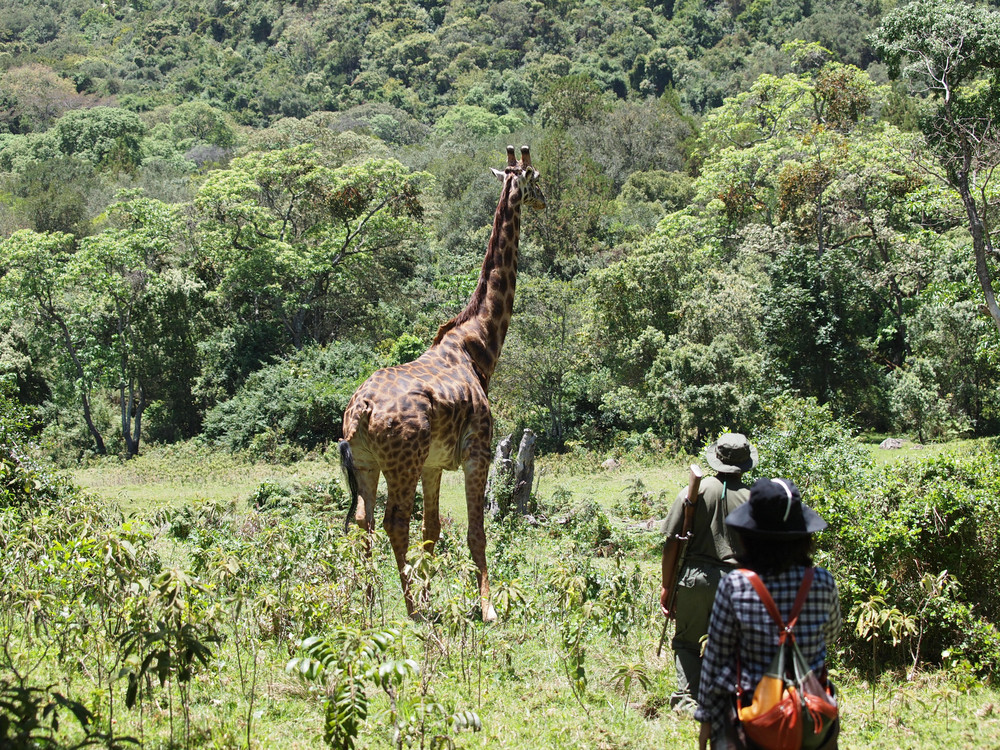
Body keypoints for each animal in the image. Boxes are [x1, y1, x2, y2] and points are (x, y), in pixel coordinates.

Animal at [338, 145, 544, 624]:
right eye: (537, 182)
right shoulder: (477, 451)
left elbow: (432, 529)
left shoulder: (434, 464)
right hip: (402, 462)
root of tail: (361, 410)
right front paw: (486, 607)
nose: (545, 203)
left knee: (363, 521)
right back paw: (410, 608)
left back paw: (367, 602)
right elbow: (475, 531)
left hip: (368, 462)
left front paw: (433, 594)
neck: (478, 346)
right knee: (394, 520)